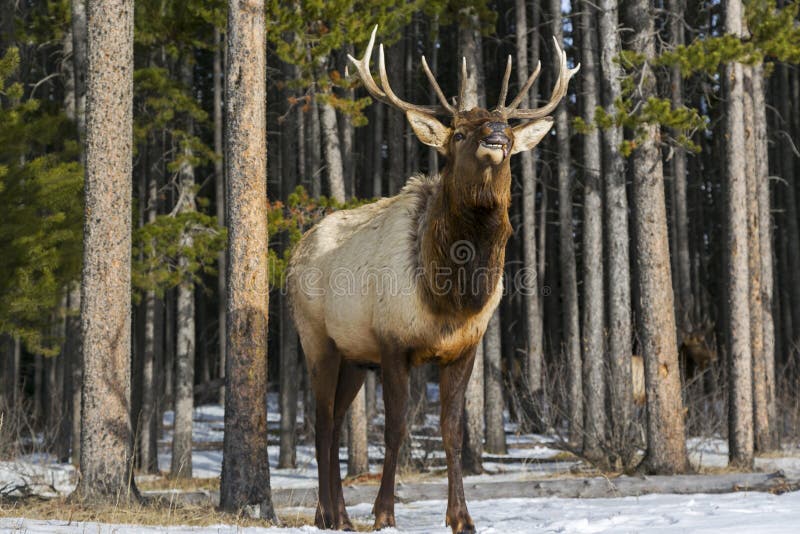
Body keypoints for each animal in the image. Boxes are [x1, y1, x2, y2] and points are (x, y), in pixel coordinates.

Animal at [290, 27, 580, 532]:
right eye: (459, 132)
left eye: (505, 129)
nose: (496, 137)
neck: (450, 296)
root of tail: (294, 254)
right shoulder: (392, 343)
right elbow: (397, 427)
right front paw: (384, 512)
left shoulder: (464, 347)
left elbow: (453, 430)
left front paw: (461, 517)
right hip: (317, 339)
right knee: (323, 420)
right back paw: (328, 515)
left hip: (354, 357)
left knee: (338, 420)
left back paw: (339, 513)